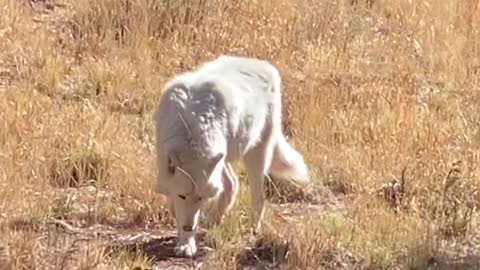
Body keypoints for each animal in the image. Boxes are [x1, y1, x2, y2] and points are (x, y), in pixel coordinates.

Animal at [154, 55, 312, 258]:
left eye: (200, 198)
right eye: (182, 195)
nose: (189, 226)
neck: (190, 128)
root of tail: (260, 63)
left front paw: (187, 243)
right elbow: (176, 207)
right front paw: (184, 236)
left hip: (255, 154)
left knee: (257, 195)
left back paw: (252, 229)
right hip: (225, 158)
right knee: (232, 183)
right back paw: (215, 218)